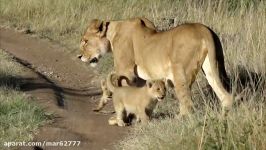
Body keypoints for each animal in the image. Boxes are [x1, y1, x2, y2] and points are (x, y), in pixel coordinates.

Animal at [79, 18, 233, 115]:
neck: (112, 34)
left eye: (85, 41)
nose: (79, 57)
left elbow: (119, 88)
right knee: (226, 97)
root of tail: (204, 30)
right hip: (212, 68)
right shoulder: (138, 77)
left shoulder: (126, 71)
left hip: (180, 73)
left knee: (187, 103)